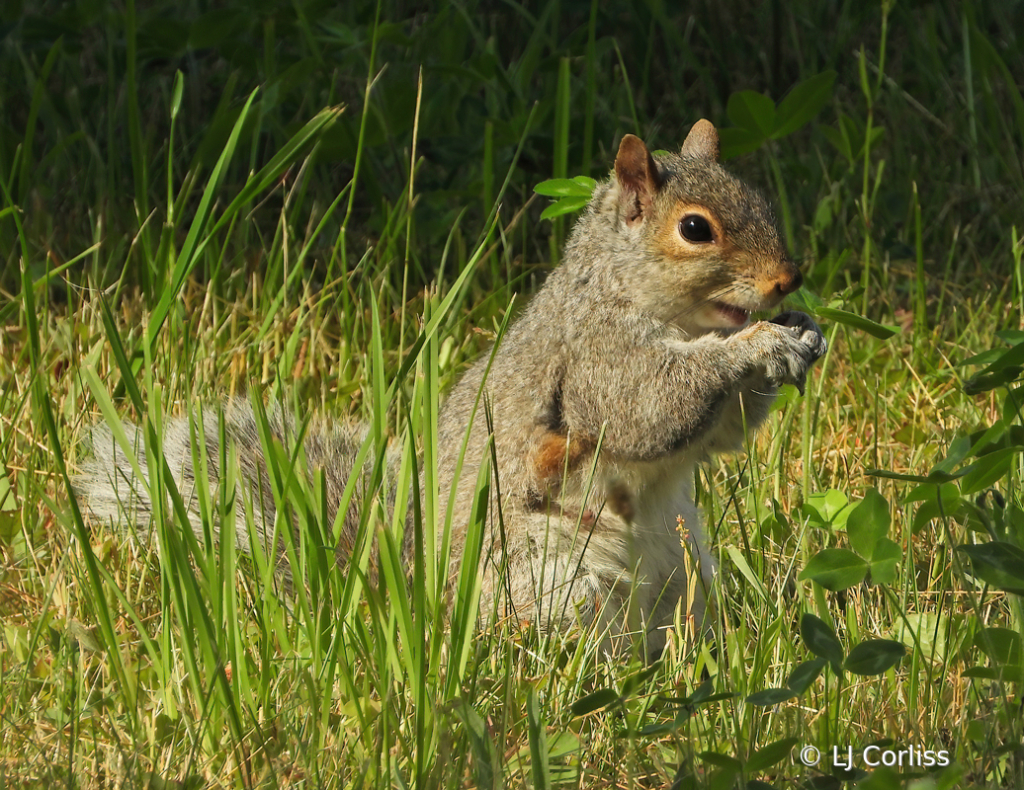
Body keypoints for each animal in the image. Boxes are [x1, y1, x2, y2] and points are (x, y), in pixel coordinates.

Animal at [74, 120, 823, 655]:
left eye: (758, 199)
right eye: (695, 228)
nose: (789, 278)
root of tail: (417, 599)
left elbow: (720, 434)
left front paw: (803, 334)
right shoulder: (593, 359)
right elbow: (649, 405)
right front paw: (758, 345)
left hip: (684, 574)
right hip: (552, 578)